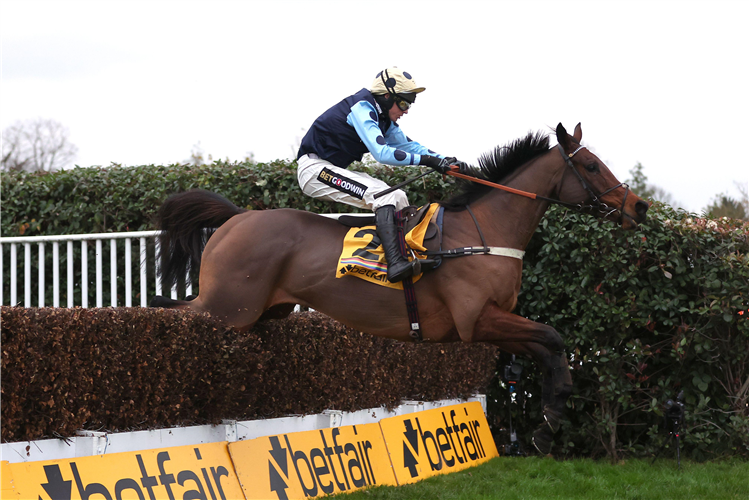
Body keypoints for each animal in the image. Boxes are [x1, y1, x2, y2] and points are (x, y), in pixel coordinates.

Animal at [152, 124, 648, 454]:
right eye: (590, 165)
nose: (638, 207)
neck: (483, 232)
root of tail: (238, 217)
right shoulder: (476, 320)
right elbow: (553, 336)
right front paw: (550, 421)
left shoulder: (495, 323)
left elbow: (549, 348)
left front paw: (547, 421)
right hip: (226, 307)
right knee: (164, 313)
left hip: (258, 311)